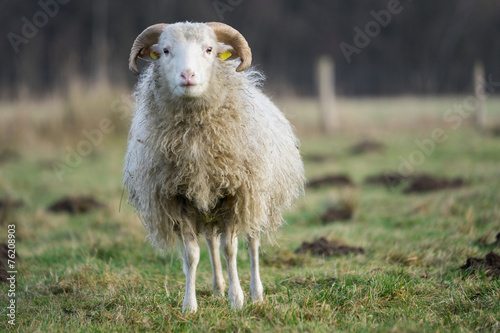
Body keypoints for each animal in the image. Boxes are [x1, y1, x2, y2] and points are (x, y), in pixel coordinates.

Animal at [125, 21, 304, 312]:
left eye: (209, 49)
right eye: (165, 50)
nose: (187, 75)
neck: (195, 139)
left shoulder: (235, 193)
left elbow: (230, 250)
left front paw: (237, 300)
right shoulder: (179, 198)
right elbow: (192, 254)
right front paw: (189, 305)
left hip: (255, 199)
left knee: (252, 243)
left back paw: (256, 294)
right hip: (207, 207)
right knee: (210, 240)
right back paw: (218, 287)